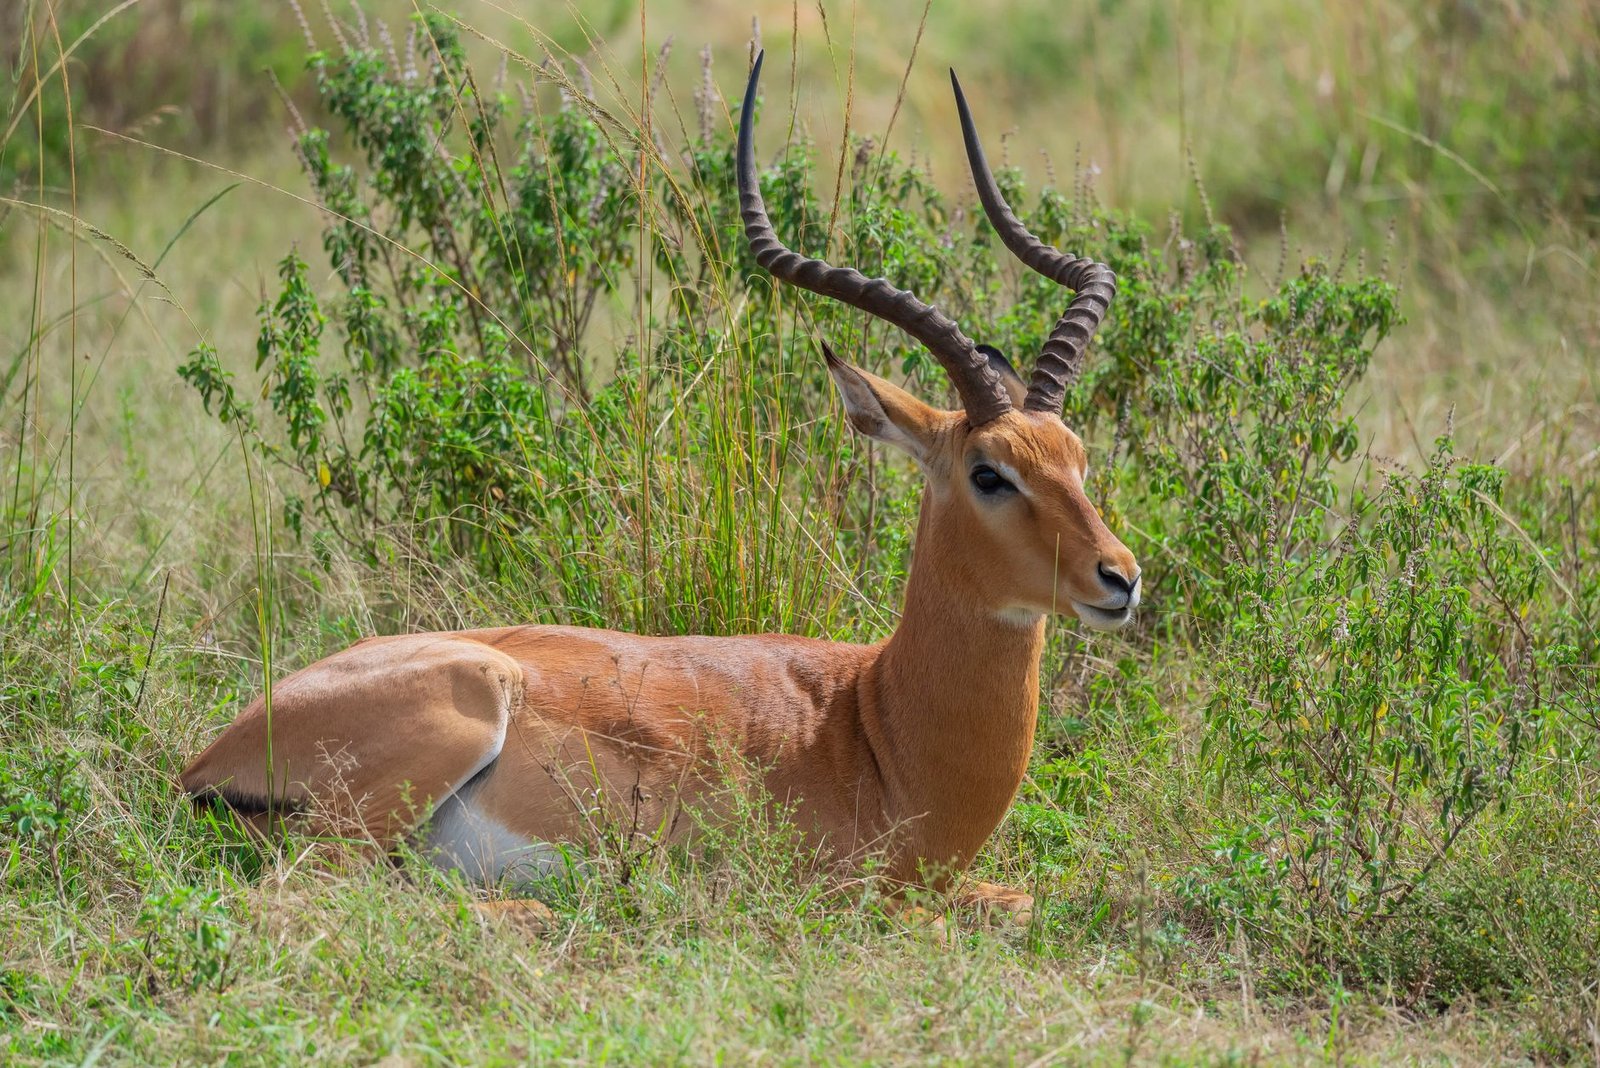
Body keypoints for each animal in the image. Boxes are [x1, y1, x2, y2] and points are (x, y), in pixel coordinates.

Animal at [180, 53, 1140, 922]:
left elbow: (1018, 900)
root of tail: (207, 759)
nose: (1120, 578)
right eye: (989, 473)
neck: (876, 729)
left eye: (1077, 456)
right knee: (313, 893)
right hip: (440, 737)